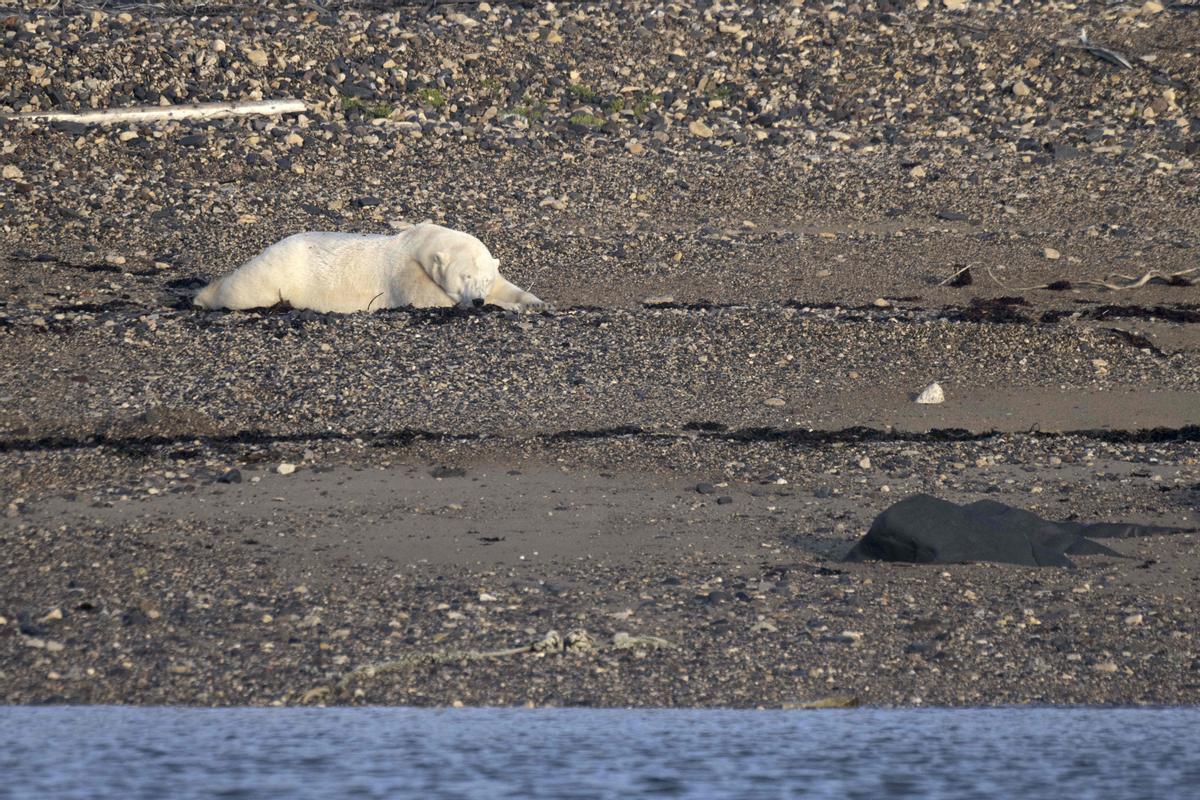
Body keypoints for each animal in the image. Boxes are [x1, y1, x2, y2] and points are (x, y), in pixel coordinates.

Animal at [193, 225, 549, 316]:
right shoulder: (406, 272)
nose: (477, 300)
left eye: (483, 278)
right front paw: (508, 306)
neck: (420, 243)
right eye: (465, 277)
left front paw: (534, 301)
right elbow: (432, 301)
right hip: (276, 274)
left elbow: (508, 285)